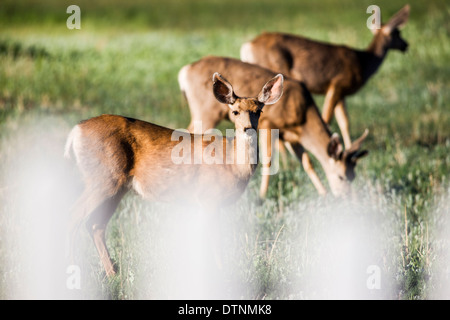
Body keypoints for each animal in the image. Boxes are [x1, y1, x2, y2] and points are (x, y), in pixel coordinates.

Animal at [65, 73, 284, 278]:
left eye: (259, 111)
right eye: (235, 111)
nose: (248, 129)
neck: (232, 164)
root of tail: (75, 131)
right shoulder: (209, 197)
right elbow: (215, 238)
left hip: (116, 187)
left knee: (95, 225)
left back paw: (112, 273)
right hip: (103, 178)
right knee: (73, 216)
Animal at [177, 56, 370, 199]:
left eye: (353, 176)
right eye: (341, 176)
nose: (345, 197)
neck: (302, 116)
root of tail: (184, 72)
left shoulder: (292, 136)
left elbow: (307, 162)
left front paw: (323, 193)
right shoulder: (269, 124)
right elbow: (268, 159)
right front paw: (261, 197)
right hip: (205, 111)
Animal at [241, 4, 410, 149]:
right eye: (398, 33)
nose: (406, 45)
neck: (364, 62)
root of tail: (247, 46)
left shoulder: (342, 93)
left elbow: (345, 122)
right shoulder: (337, 83)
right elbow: (327, 118)